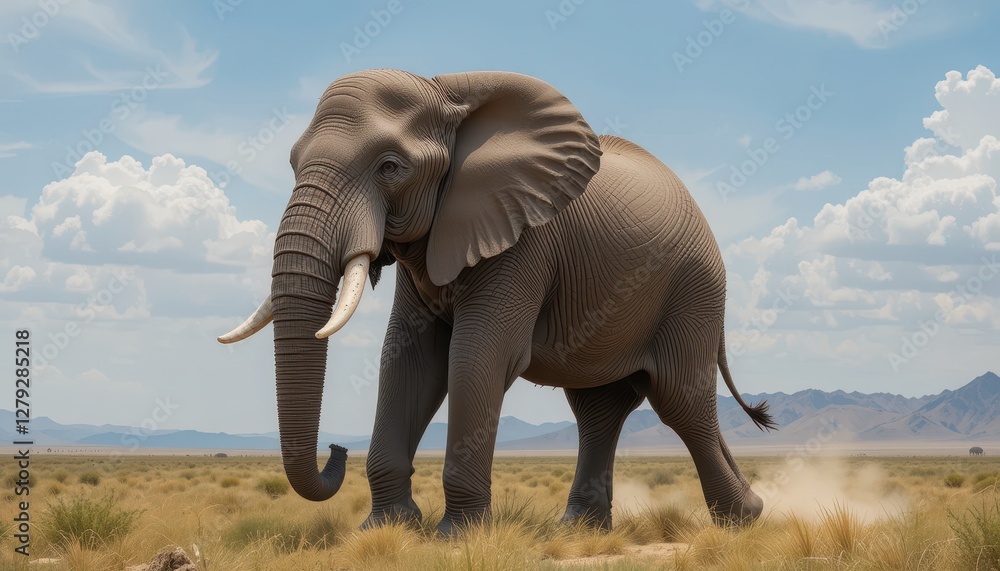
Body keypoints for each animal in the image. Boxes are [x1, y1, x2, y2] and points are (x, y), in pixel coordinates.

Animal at [218, 69, 776, 535]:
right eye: (292, 163)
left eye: (390, 167)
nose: (336, 449)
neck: (447, 93)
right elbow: (409, 359)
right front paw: (385, 528)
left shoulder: (525, 236)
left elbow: (476, 355)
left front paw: (456, 536)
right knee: (598, 410)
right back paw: (579, 531)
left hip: (692, 292)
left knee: (681, 400)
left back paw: (744, 518)